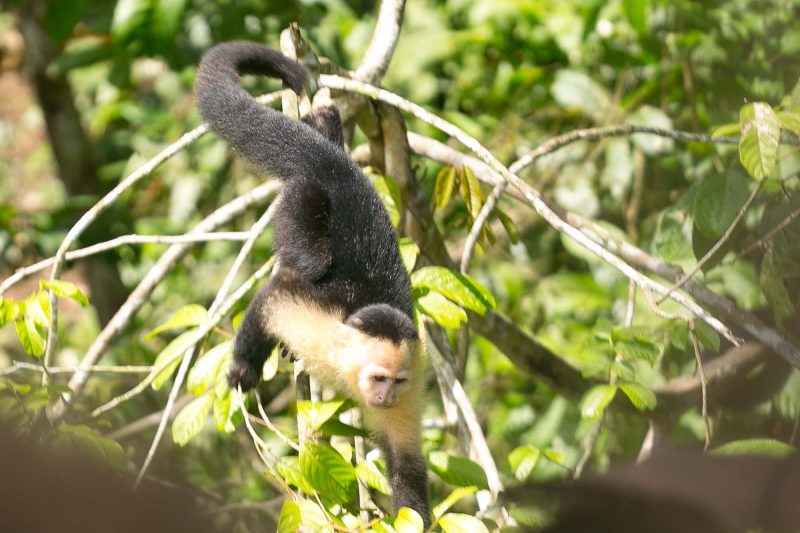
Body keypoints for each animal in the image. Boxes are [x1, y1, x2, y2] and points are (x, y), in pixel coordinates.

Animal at [195, 41, 430, 526]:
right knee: (306, 259)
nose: (384, 397)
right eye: (378, 377)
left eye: (395, 381)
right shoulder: (319, 329)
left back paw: (324, 125)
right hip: (303, 200)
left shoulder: (413, 383)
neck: (349, 369)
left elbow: (406, 466)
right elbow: (276, 296)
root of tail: (335, 168)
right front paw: (243, 369)